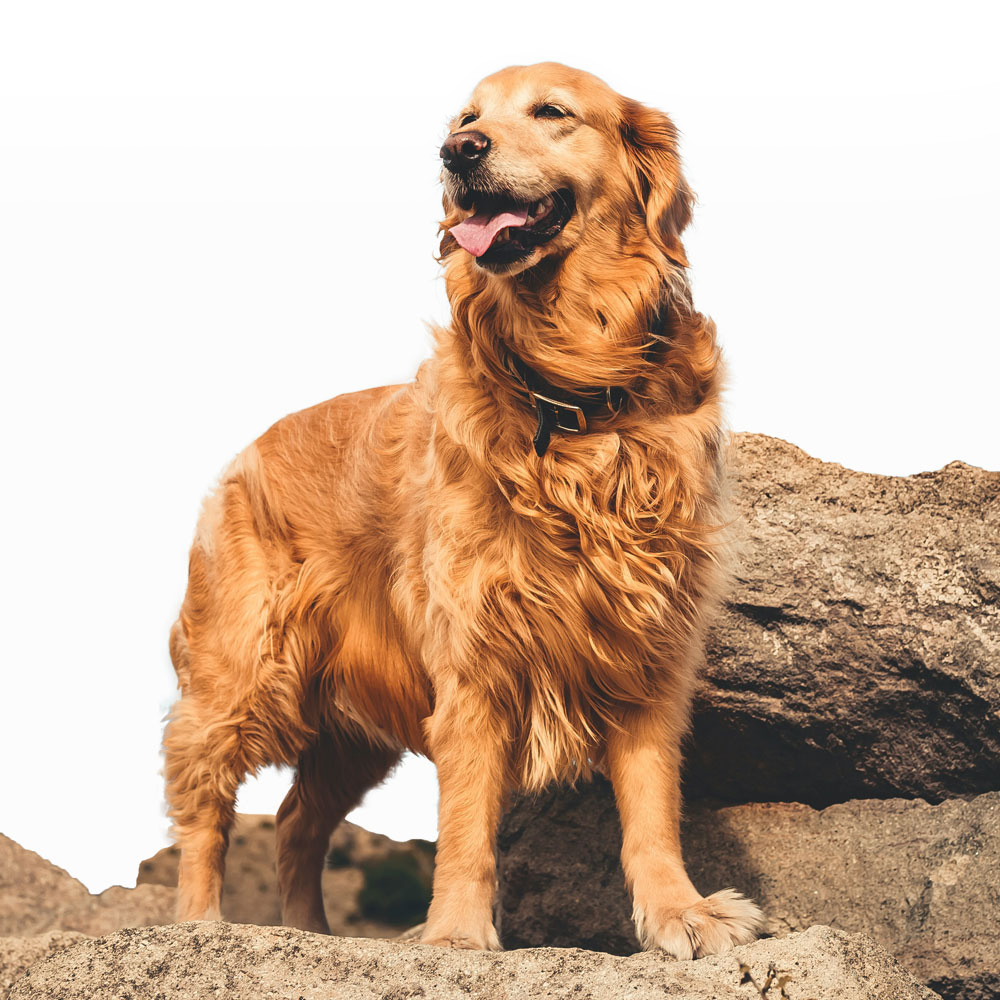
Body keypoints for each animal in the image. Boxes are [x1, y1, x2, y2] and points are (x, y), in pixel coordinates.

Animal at [166, 62, 764, 960]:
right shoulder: (474, 655)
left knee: (298, 821)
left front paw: (680, 913)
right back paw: (201, 924)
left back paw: (313, 933)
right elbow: (466, 816)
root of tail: (245, 453)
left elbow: (652, 810)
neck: (570, 393)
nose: (458, 152)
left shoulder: (646, 646)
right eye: (466, 117)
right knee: (206, 801)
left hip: (350, 730)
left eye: (551, 111)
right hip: (243, 669)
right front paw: (453, 932)